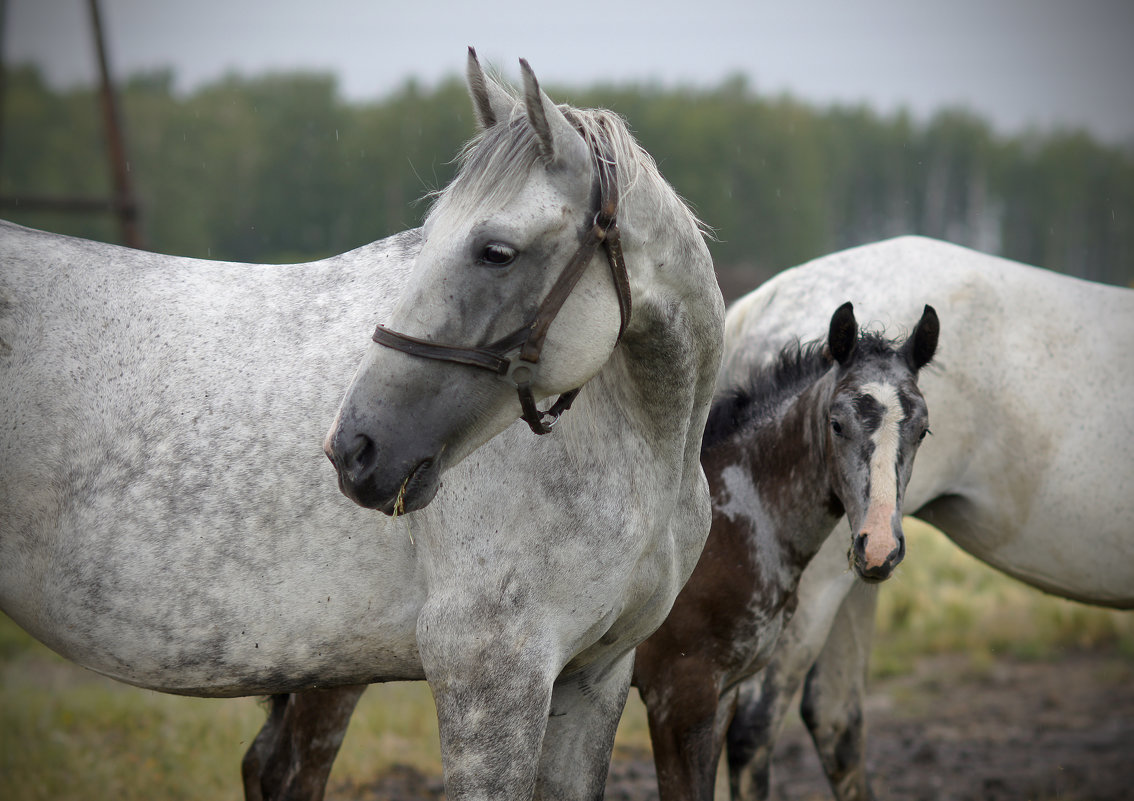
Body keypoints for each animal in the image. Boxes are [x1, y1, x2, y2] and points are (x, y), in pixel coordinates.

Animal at [630, 301, 938, 798]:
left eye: (923, 431)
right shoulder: (677, 698)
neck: (728, 531)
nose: (878, 549)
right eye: (836, 423)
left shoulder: (722, 696)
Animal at [716, 235, 1134, 798]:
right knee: (755, 729)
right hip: (823, 580)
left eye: (923, 430)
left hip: (853, 572)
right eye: (835, 424)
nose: (880, 546)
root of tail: (763, 301)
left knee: (835, 720)